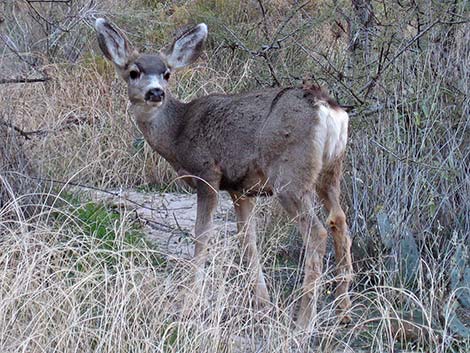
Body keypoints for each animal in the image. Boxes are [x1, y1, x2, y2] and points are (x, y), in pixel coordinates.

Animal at [94, 18, 352, 328]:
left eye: (167, 73)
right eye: (134, 72)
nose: (155, 92)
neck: (178, 132)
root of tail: (327, 107)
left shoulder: (208, 174)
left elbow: (202, 235)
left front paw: (188, 303)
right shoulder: (241, 188)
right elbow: (247, 240)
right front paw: (262, 304)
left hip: (291, 176)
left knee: (317, 232)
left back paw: (303, 322)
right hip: (331, 170)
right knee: (339, 220)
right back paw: (343, 311)